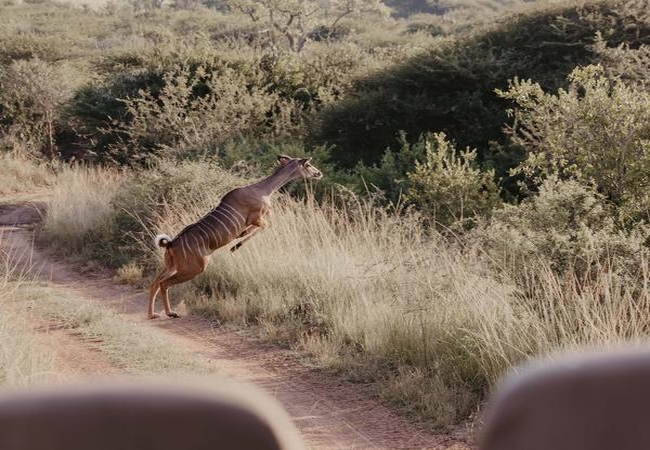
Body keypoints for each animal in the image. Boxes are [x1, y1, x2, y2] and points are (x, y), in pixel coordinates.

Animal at [148, 155, 323, 319]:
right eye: (308, 165)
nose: (319, 173)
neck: (264, 190)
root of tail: (170, 244)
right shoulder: (256, 218)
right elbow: (264, 227)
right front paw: (234, 246)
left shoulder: (256, 220)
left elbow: (251, 231)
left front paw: (238, 240)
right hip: (194, 268)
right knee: (164, 284)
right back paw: (171, 313)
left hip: (172, 266)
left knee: (154, 283)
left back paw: (153, 314)